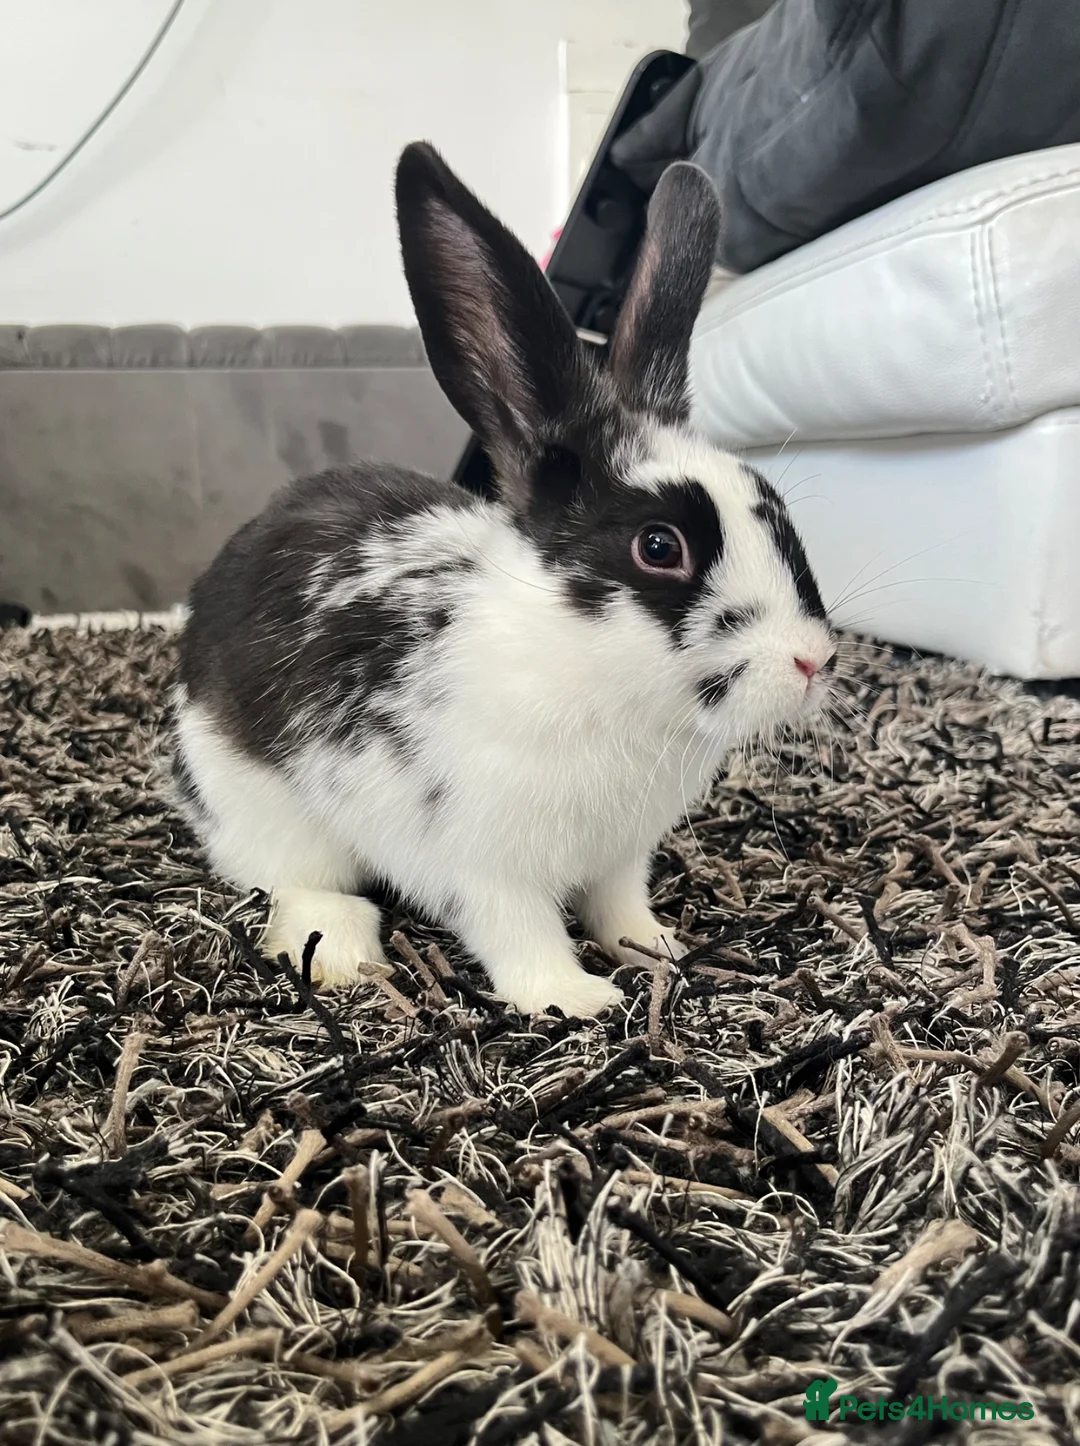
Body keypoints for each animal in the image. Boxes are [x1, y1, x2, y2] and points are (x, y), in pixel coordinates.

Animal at [168, 141, 836, 1018]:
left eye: (779, 512)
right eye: (659, 546)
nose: (813, 662)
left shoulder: (621, 856)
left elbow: (620, 907)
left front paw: (655, 951)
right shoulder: (483, 867)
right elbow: (522, 934)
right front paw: (579, 998)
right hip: (267, 810)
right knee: (297, 885)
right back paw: (342, 953)